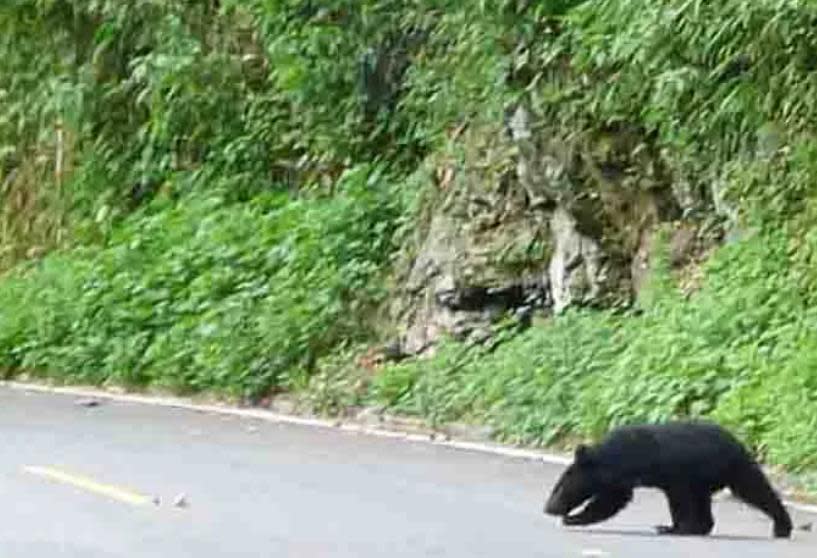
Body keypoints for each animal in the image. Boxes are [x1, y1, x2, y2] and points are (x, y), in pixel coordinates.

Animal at [540, 424, 792, 540]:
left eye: (560, 488)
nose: (548, 508)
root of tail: (739, 445)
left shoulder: (627, 470)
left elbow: (611, 499)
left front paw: (572, 518)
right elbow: (614, 500)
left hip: (725, 469)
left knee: (754, 488)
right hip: (703, 480)